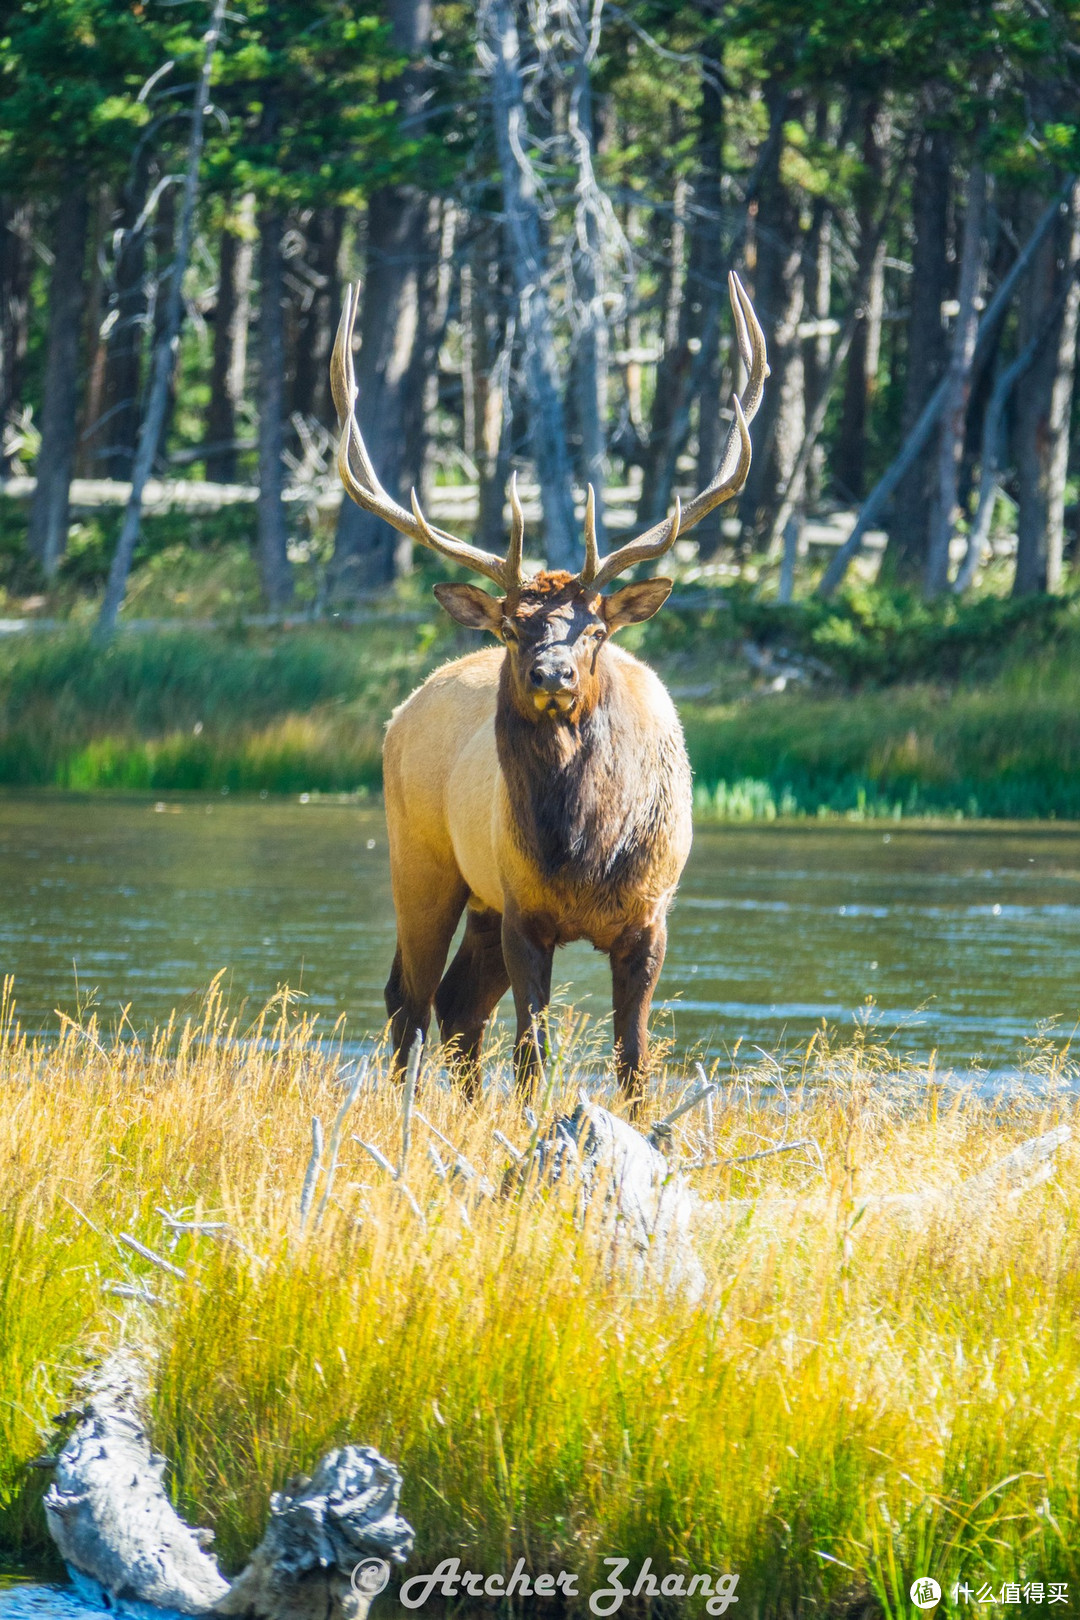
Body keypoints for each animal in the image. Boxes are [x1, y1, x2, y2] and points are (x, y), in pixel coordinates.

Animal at [333, 272, 764, 1101]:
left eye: (595, 629)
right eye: (510, 627)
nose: (552, 673)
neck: (584, 846)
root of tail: (402, 710)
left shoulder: (648, 921)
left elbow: (633, 1060)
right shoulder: (524, 911)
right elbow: (533, 1057)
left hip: (472, 896)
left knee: (456, 1003)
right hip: (424, 861)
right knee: (411, 995)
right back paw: (406, 1103)